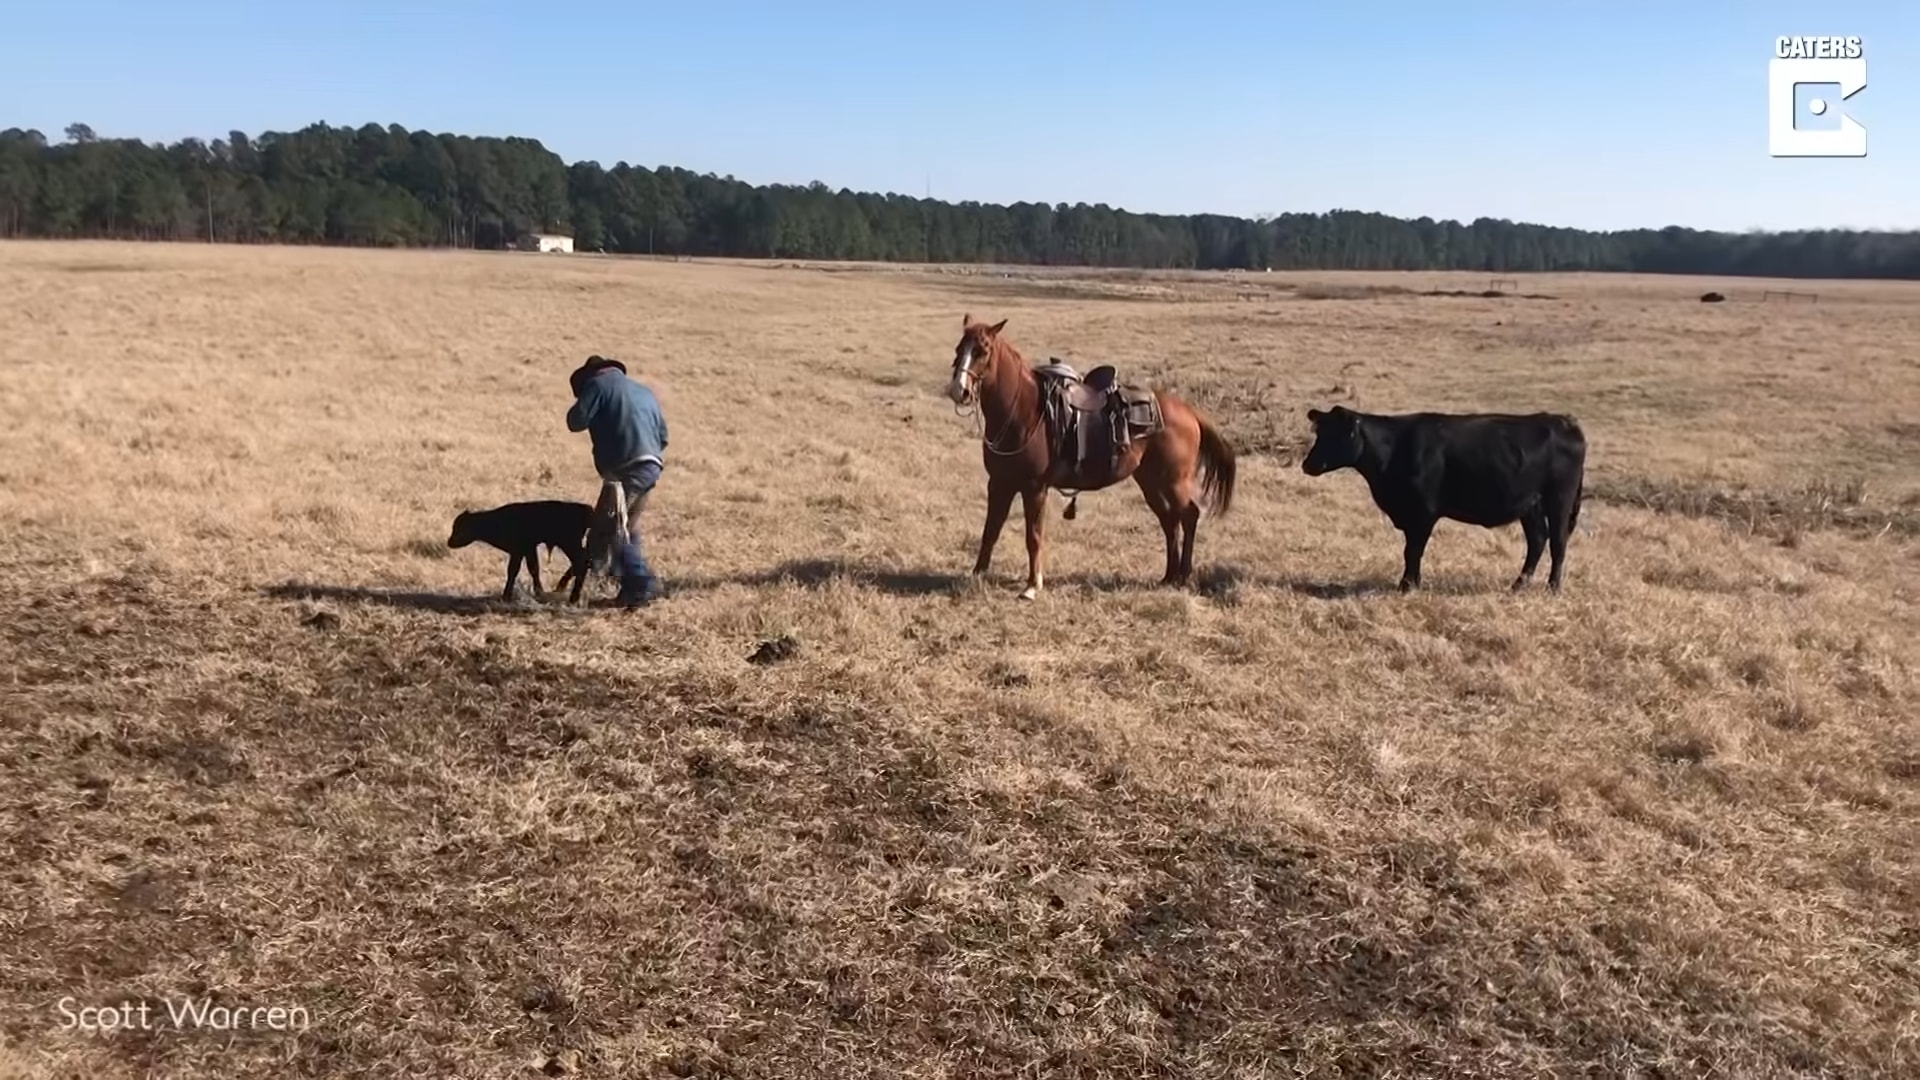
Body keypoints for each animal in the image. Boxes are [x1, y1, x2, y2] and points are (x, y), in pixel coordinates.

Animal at [940, 313, 1236, 595]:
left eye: (983, 350)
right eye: (959, 348)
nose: (959, 390)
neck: (1023, 411)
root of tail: (1189, 413)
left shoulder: (1034, 488)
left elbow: (1033, 536)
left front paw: (1032, 585)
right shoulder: (999, 483)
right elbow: (990, 531)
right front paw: (977, 575)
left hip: (1174, 483)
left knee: (1189, 516)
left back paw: (1184, 575)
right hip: (1152, 482)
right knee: (1169, 521)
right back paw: (1169, 577)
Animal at [1305, 403, 1589, 588]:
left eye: (1340, 434)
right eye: (1320, 433)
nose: (1308, 464)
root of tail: (1565, 422)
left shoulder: (1423, 512)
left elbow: (1413, 550)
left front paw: (1407, 585)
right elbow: (1410, 551)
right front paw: (1412, 582)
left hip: (1559, 498)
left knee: (1558, 542)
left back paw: (1552, 587)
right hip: (1530, 505)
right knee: (1538, 540)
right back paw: (1519, 584)